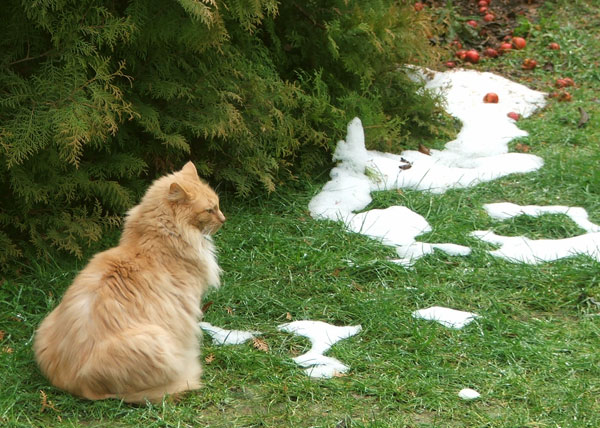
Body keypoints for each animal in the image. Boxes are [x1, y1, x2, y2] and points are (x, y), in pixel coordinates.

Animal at [33, 161, 225, 404]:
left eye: (218, 205)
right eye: (210, 209)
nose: (224, 219)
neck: (156, 241)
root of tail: (77, 386)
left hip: (45, 324)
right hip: (155, 341)